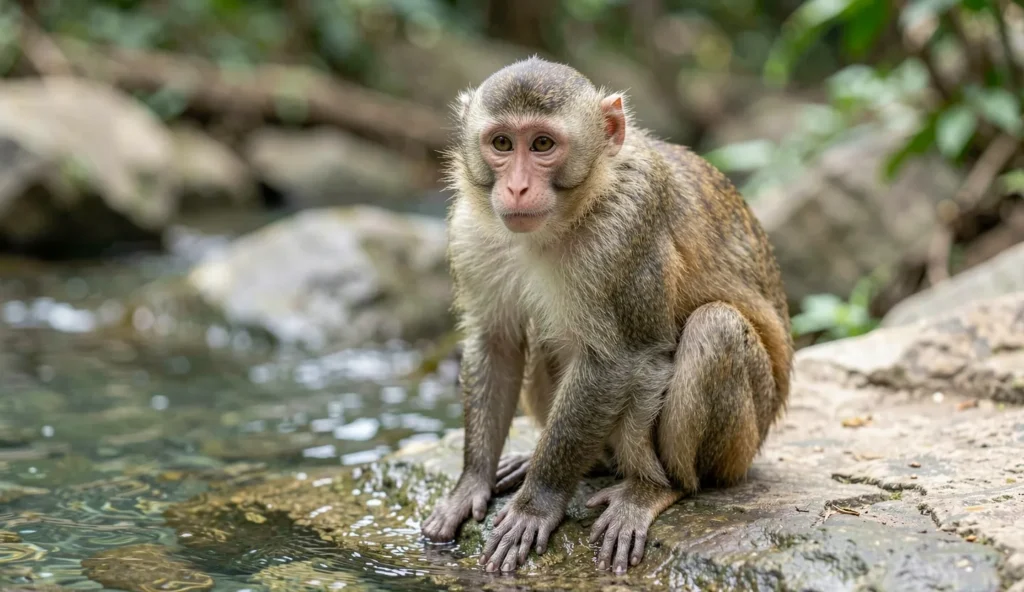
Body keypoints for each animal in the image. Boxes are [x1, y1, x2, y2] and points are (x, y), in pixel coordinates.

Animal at [419, 57, 793, 576]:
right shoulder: (470, 230)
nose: (516, 187)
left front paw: (537, 503)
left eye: (542, 145)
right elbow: (496, 343)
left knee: (712, 328)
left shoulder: (625, 229)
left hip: (744, 442)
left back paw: (657, 487)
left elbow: (619, 359)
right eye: (501, 144)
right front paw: (470, 483)